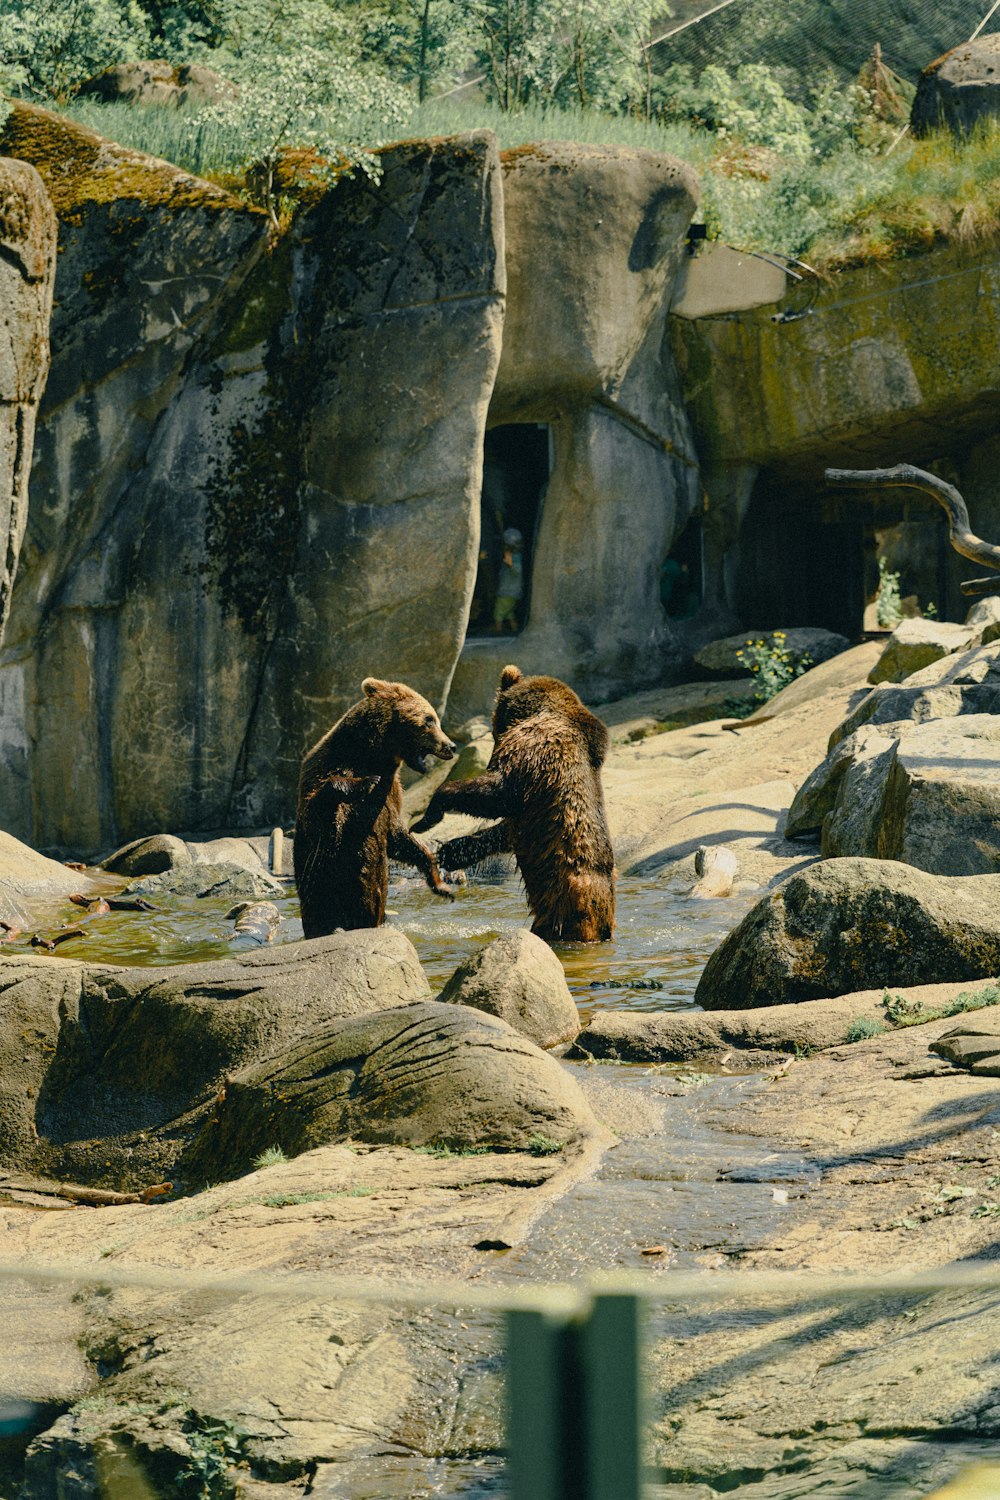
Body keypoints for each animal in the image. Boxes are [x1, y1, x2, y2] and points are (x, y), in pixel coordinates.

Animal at [293, 681, 458, 936]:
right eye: (430, 719)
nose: (450, 745)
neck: (373, 754)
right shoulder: (325, 768)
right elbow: (321, 816)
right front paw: (366, 782)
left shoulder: (391, 795)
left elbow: (399, 837)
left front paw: (442, 886)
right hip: (318, 890)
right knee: (319, 916)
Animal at [410, 666, 614, 942]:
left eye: (495, 728)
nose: (489, 758)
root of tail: (602, 925)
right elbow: (507, 828)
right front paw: (453, 850)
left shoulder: (537, 749)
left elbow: (502, 794)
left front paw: (428, 816)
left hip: (565, 907)